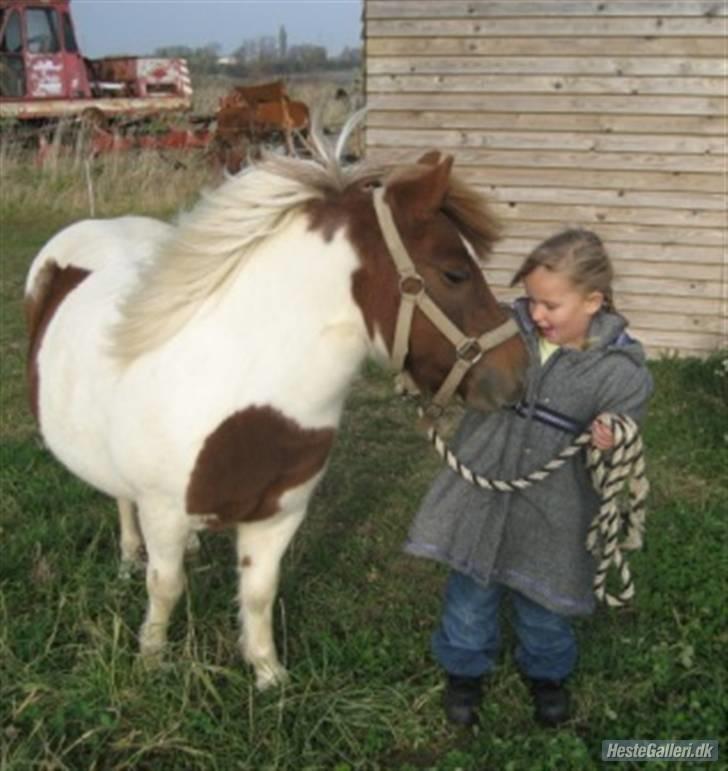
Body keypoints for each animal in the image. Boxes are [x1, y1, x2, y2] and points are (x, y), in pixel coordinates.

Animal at [25, 119, 528, 688]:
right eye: (454, 273)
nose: (517, 376)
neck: (241, 393)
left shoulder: (279, 515)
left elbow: (260, 593)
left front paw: (268, 676)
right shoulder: (163, 510)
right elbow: (165, 587)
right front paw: (150, 660)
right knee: (122, 502)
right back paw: (131, 556)